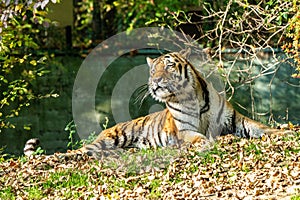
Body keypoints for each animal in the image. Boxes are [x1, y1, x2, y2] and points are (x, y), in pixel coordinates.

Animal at [24, 48, 284, 158]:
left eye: (168, 66)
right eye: (152, 71)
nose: (156, 81)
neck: (192, 97)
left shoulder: (234, 119)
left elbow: (260, 127)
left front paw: (284, 132)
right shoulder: (185, 130)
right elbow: (199, 137)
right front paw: (209, 143)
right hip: (108, 140)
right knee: (78, 151)